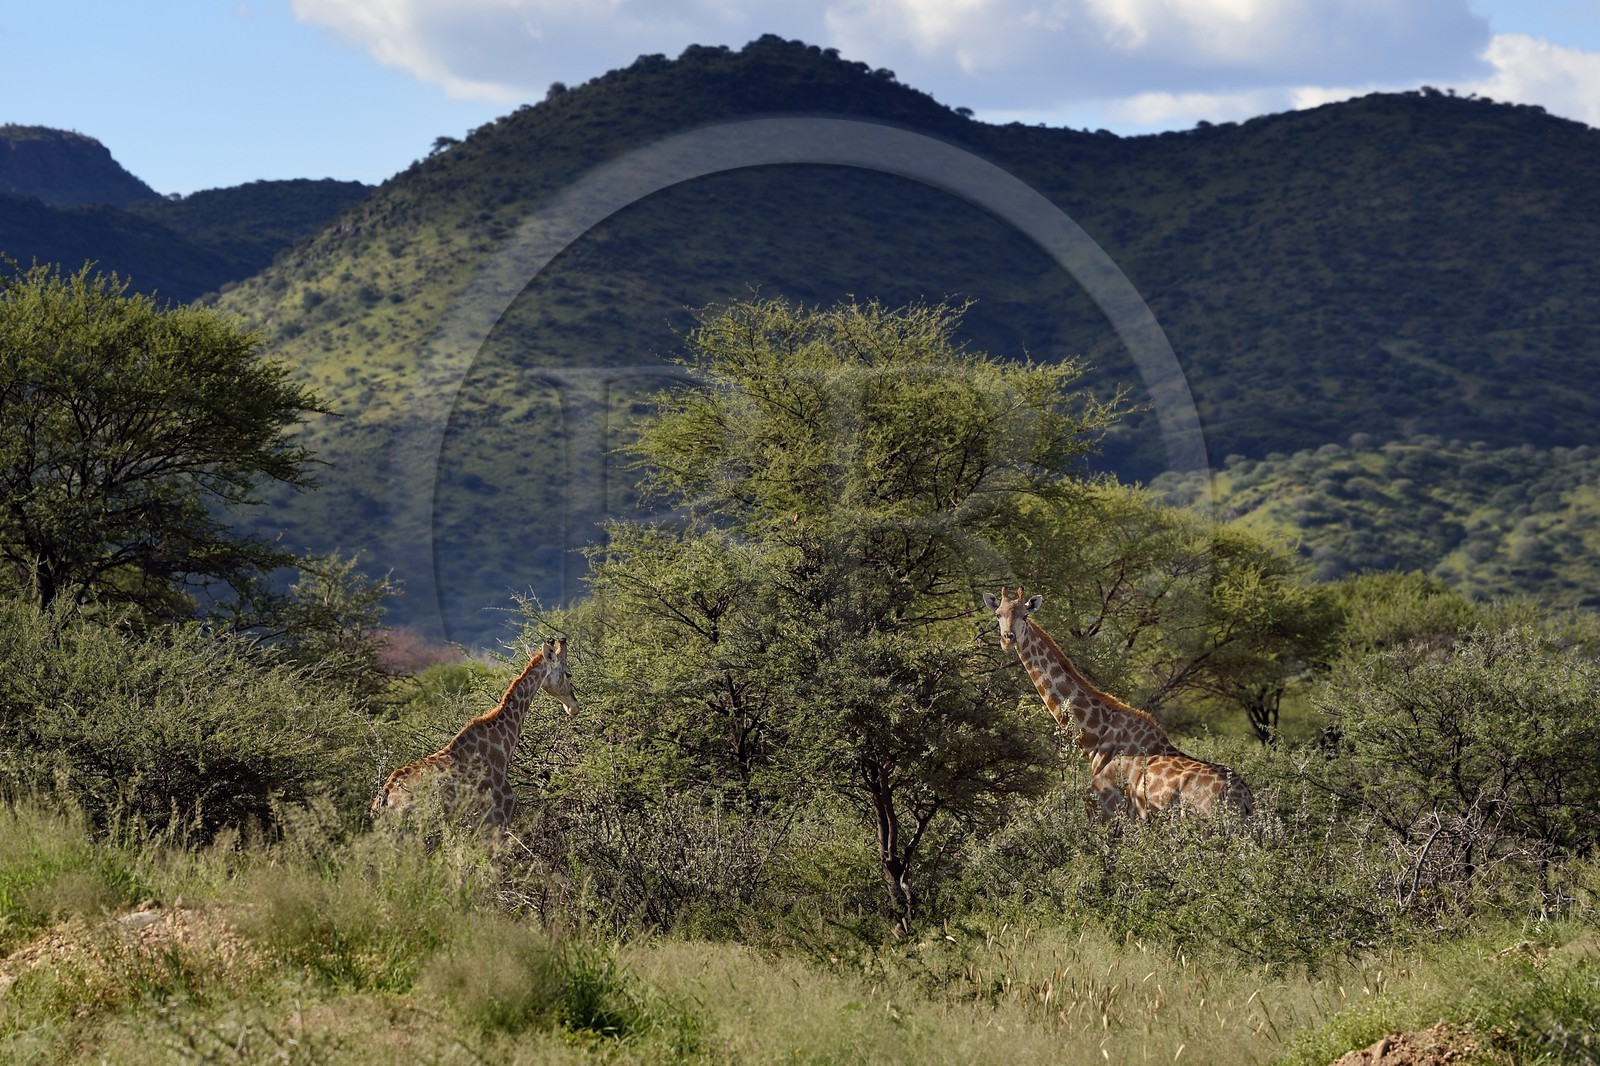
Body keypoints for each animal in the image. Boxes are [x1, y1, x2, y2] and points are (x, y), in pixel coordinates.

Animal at [982, 589, 1254, 820]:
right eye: (998, 615)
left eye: (1025, 615)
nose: (1008, 639)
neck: (1094, 737)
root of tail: (1245, 800)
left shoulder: (1104, 810)